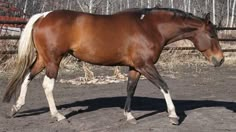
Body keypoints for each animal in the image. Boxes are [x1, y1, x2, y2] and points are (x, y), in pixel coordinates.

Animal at [1, 7, 224, 125]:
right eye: (212, 35)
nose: (220, 60)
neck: (149, 27)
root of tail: (43, 16)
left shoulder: (135, 68)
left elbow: (130, 89)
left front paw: (129, 115)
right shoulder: (146, 65)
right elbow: (164, 86)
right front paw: (173, 115)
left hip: (43, 59)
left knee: (27, 77)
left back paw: (16, 108)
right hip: (53, 60)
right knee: (47, 86)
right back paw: (58, 115)